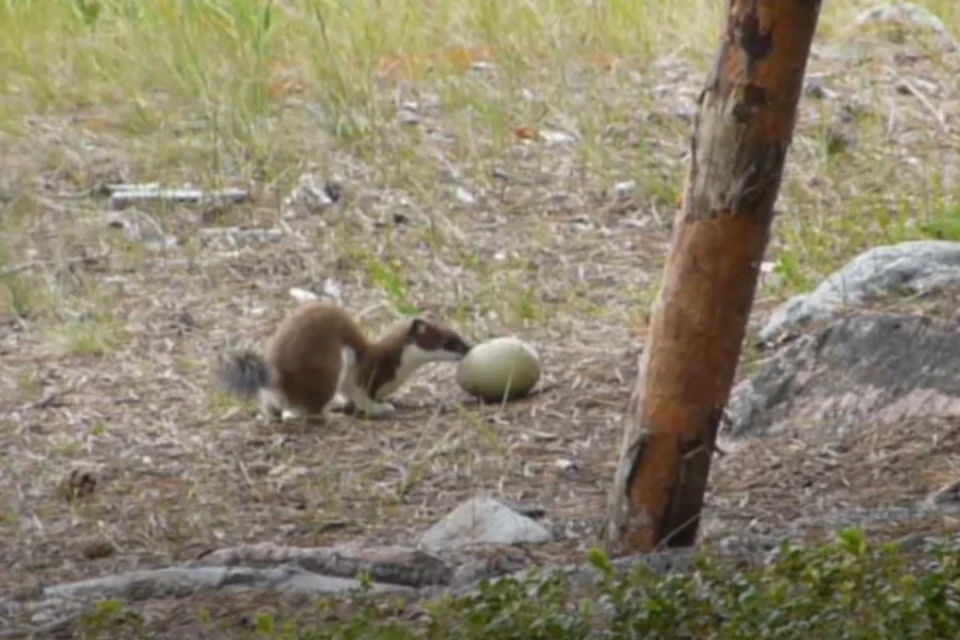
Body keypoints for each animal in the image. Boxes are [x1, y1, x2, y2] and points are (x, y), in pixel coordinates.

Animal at [218, 302, 472, 420]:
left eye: (457, 333)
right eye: (450, 341)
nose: (470, 347)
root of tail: (280, 377)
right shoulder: (365, 375)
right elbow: (360, 395)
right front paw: (381, 407)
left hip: (269, 394)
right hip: (330, 363)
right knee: (313, 409)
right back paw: (333, 416)